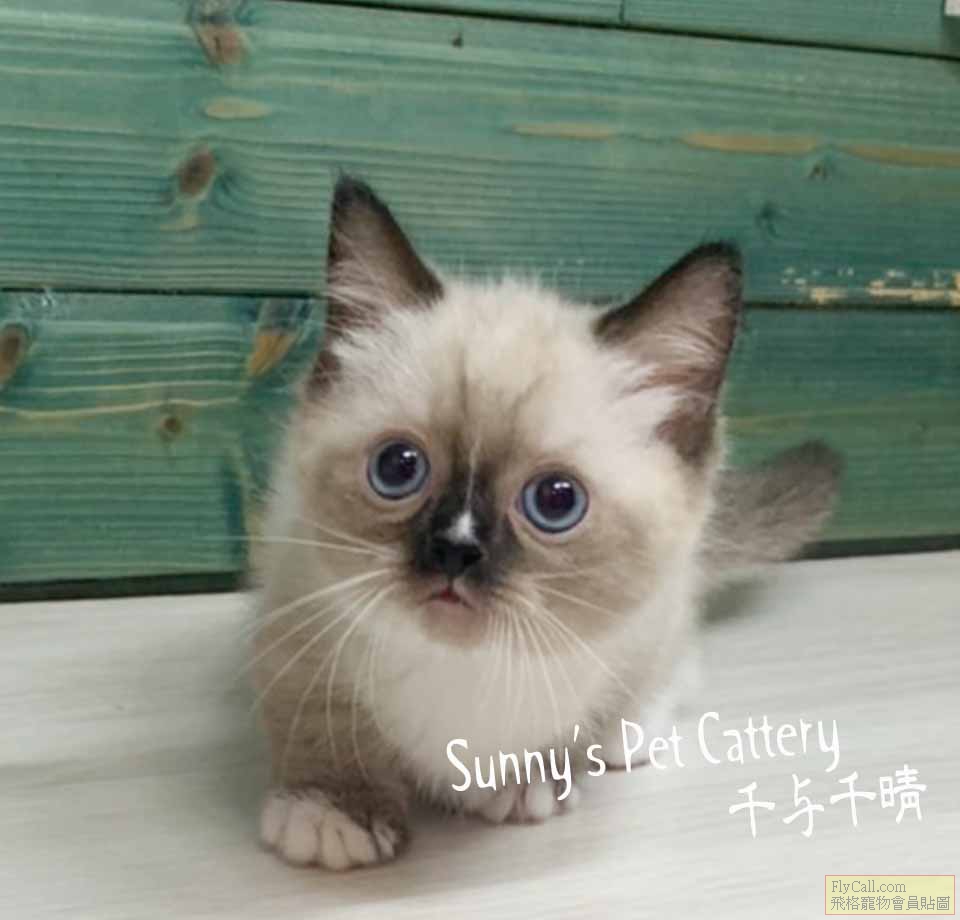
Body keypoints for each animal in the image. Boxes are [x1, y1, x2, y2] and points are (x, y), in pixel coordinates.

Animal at [250, 176, 842, 871]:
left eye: (555, 501)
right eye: (398, 468)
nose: (456, 550)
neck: (465, 671)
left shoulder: (636, 631)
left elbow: (590, 712)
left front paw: (523, 780)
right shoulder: (297, 608)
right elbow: (319, 716)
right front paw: (333, 809)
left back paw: (626, 736)